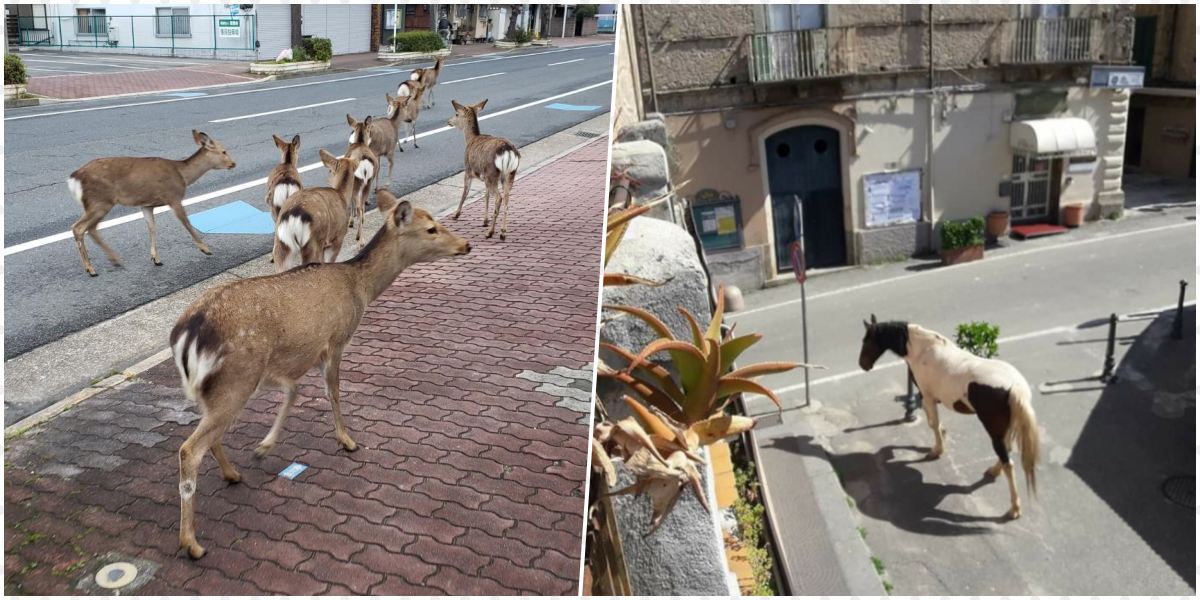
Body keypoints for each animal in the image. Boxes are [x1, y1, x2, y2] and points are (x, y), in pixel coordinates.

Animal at [66, 130, 236, 274]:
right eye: (223, 151)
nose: (233, 163)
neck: (182, 175)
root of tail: (75, 177)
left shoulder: (147, 205)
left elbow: (152, 228)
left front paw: (156, 259)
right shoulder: (173, 196)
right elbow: (186, 222)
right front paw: (205, 248)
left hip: (98, 203)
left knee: (91, 228)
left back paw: (115, 260)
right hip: (100, 201)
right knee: (78, 227)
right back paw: (91, 269)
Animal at [174, 189, 472, 559]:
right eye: (431, 228)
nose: (466, 244)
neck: (359, 287)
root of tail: (187, 334)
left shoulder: (297, 355)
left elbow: (294, 393)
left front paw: (264, 446)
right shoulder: (335, 340)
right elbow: (333, 391)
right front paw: (347, 440)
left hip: (216, 387)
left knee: (209, 437)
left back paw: (233, 474)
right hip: (237, 380)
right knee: (190, 449)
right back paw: (191, 542)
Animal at [343, 113, 379, 244]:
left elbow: (352, 203)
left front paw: (350, 222)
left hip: (356, 183)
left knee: (358, 207)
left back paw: (359, 239)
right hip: (368, 182)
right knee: (362, 207)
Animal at [448, 97, 518, 238]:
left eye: (457, 114)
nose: (448, 121)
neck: (470, 139)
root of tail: (508, 151)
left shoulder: (468, 170)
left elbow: (465, 192)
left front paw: (456, 214)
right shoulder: (484, 177)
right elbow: (486, 196)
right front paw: (485, 221)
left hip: (492, 173)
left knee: (499, 198)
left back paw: (490, 232)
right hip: (509, 174)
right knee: (507, 198)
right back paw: (502, 232)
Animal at [859, 316, 1036, 518]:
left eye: (867, 340)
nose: (862, 364)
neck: (922, 349)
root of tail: (1014, 386)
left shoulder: (927, 397)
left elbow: (933, 423)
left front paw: (937, 450)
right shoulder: (927, 398)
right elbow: (935, 423)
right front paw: (941, 438)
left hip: (993, 430)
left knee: (1008, 463)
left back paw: (1014, 508)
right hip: (1005, 428)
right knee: (1006, 451)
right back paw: (993, 471)